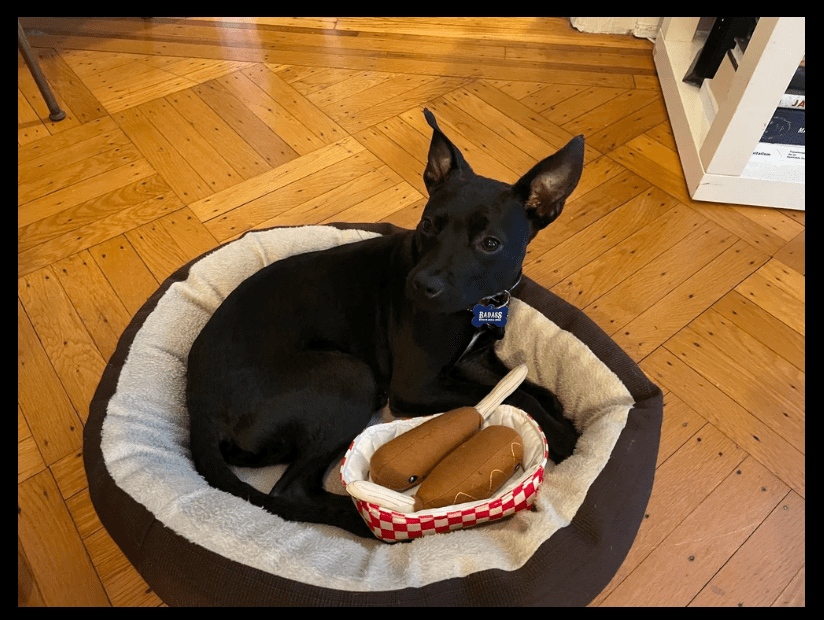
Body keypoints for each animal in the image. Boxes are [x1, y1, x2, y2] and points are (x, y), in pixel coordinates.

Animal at [187, 110, 584, 537]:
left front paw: (562, 417)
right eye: (428, 224)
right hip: (351, 377)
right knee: (289, 491)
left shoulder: (475, 360)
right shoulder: (415, 387)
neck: (480, 303)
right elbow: (518, 395)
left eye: (490, 243)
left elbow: (531, 386)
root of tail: (198, 408)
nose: (420, 285)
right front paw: (562, 437)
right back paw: (369, 524)